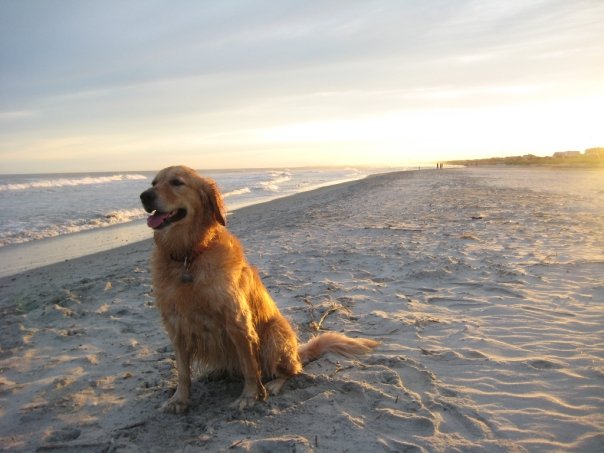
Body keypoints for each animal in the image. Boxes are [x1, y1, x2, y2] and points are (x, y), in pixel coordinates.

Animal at [140, 165, 378, 413]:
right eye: (153, 182)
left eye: (177, 182)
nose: (144, 196)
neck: (189, 256)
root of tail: (297, 352)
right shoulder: (176, 325)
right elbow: (182, 372)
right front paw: (179, 399)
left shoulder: (237, 322)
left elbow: (249, 367)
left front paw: (250, 395)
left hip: (274, 334)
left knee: (291, 371)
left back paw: (274, 384)